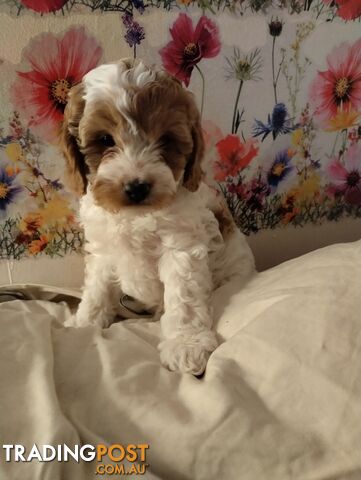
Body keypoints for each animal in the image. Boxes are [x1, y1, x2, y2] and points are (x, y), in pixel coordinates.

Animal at [60, 59, 255, 376]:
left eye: (165, 140)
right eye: (105, 140)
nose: (136, 187)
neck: (135, 215)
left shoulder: (181, 249)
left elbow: (184, 301)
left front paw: (186, 345)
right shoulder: (102, 250)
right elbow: (97, 289)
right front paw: (84, 323)